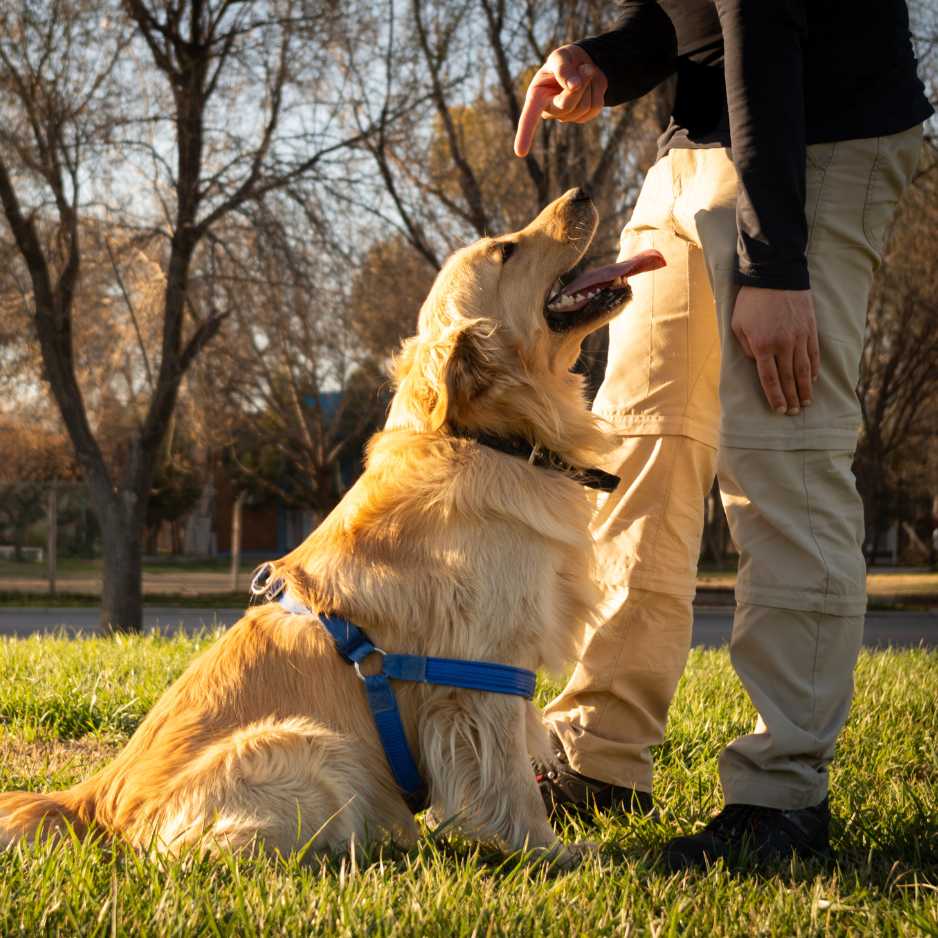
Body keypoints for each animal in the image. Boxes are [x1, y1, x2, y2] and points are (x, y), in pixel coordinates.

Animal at [0, 186, 660, 868]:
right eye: (506, 251)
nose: (582, 194)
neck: (484, 438)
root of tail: (94, 799)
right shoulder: (485, 674)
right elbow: (510, 783)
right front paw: (553, 852)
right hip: (312, 749)